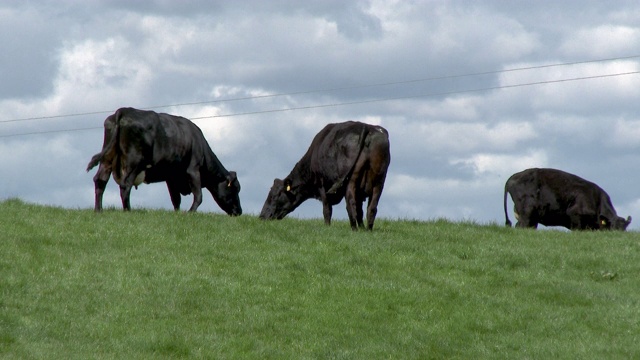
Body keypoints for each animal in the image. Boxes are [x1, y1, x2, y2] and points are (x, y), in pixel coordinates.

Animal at [86, 105, 241, 215]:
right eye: (235, 188)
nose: (239, 211)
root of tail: (124, 110)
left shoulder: (171, 176)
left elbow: (175, 199)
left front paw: (177, 213)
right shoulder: (193, 170)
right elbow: (198, 195)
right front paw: (190, 212)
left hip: (107, 159)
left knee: (100, 180)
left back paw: (98, 210)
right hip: (135, 161)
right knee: (126, 184)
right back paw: (127, 211)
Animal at [258, 119, 390, 229]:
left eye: (274, 196)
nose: (262, 217)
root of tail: (366, 126)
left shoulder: (322, 185)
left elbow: (327, 209)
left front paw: (327, 227)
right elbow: (360, 210)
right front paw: (362, 228)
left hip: (351, 180)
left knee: (350, 203)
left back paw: (354, 229)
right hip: (379, 181)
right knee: (371, 207)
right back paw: (368, 229)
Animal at [504, 168, 632, 231]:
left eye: (624, 229)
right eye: (613, 228)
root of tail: (514, 176)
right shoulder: (575, 215)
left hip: (532, 218)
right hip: (526, 214)